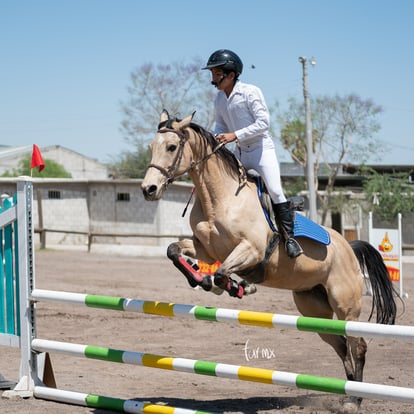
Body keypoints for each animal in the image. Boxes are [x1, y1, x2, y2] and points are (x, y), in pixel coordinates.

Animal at [142, 110, 398, 414]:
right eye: (151, 147)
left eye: (171, 147)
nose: (148, 189)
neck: (219, 199)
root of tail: (349, 246)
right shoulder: (205, 251)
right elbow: (174, 251)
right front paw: (203, 280)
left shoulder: (250, 251)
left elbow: (222, 273)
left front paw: (235, 287)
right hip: (314, 309)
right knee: (341, 345)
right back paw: (346, 394)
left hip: (346, 306)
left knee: (357, 345)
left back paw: (354, 400)